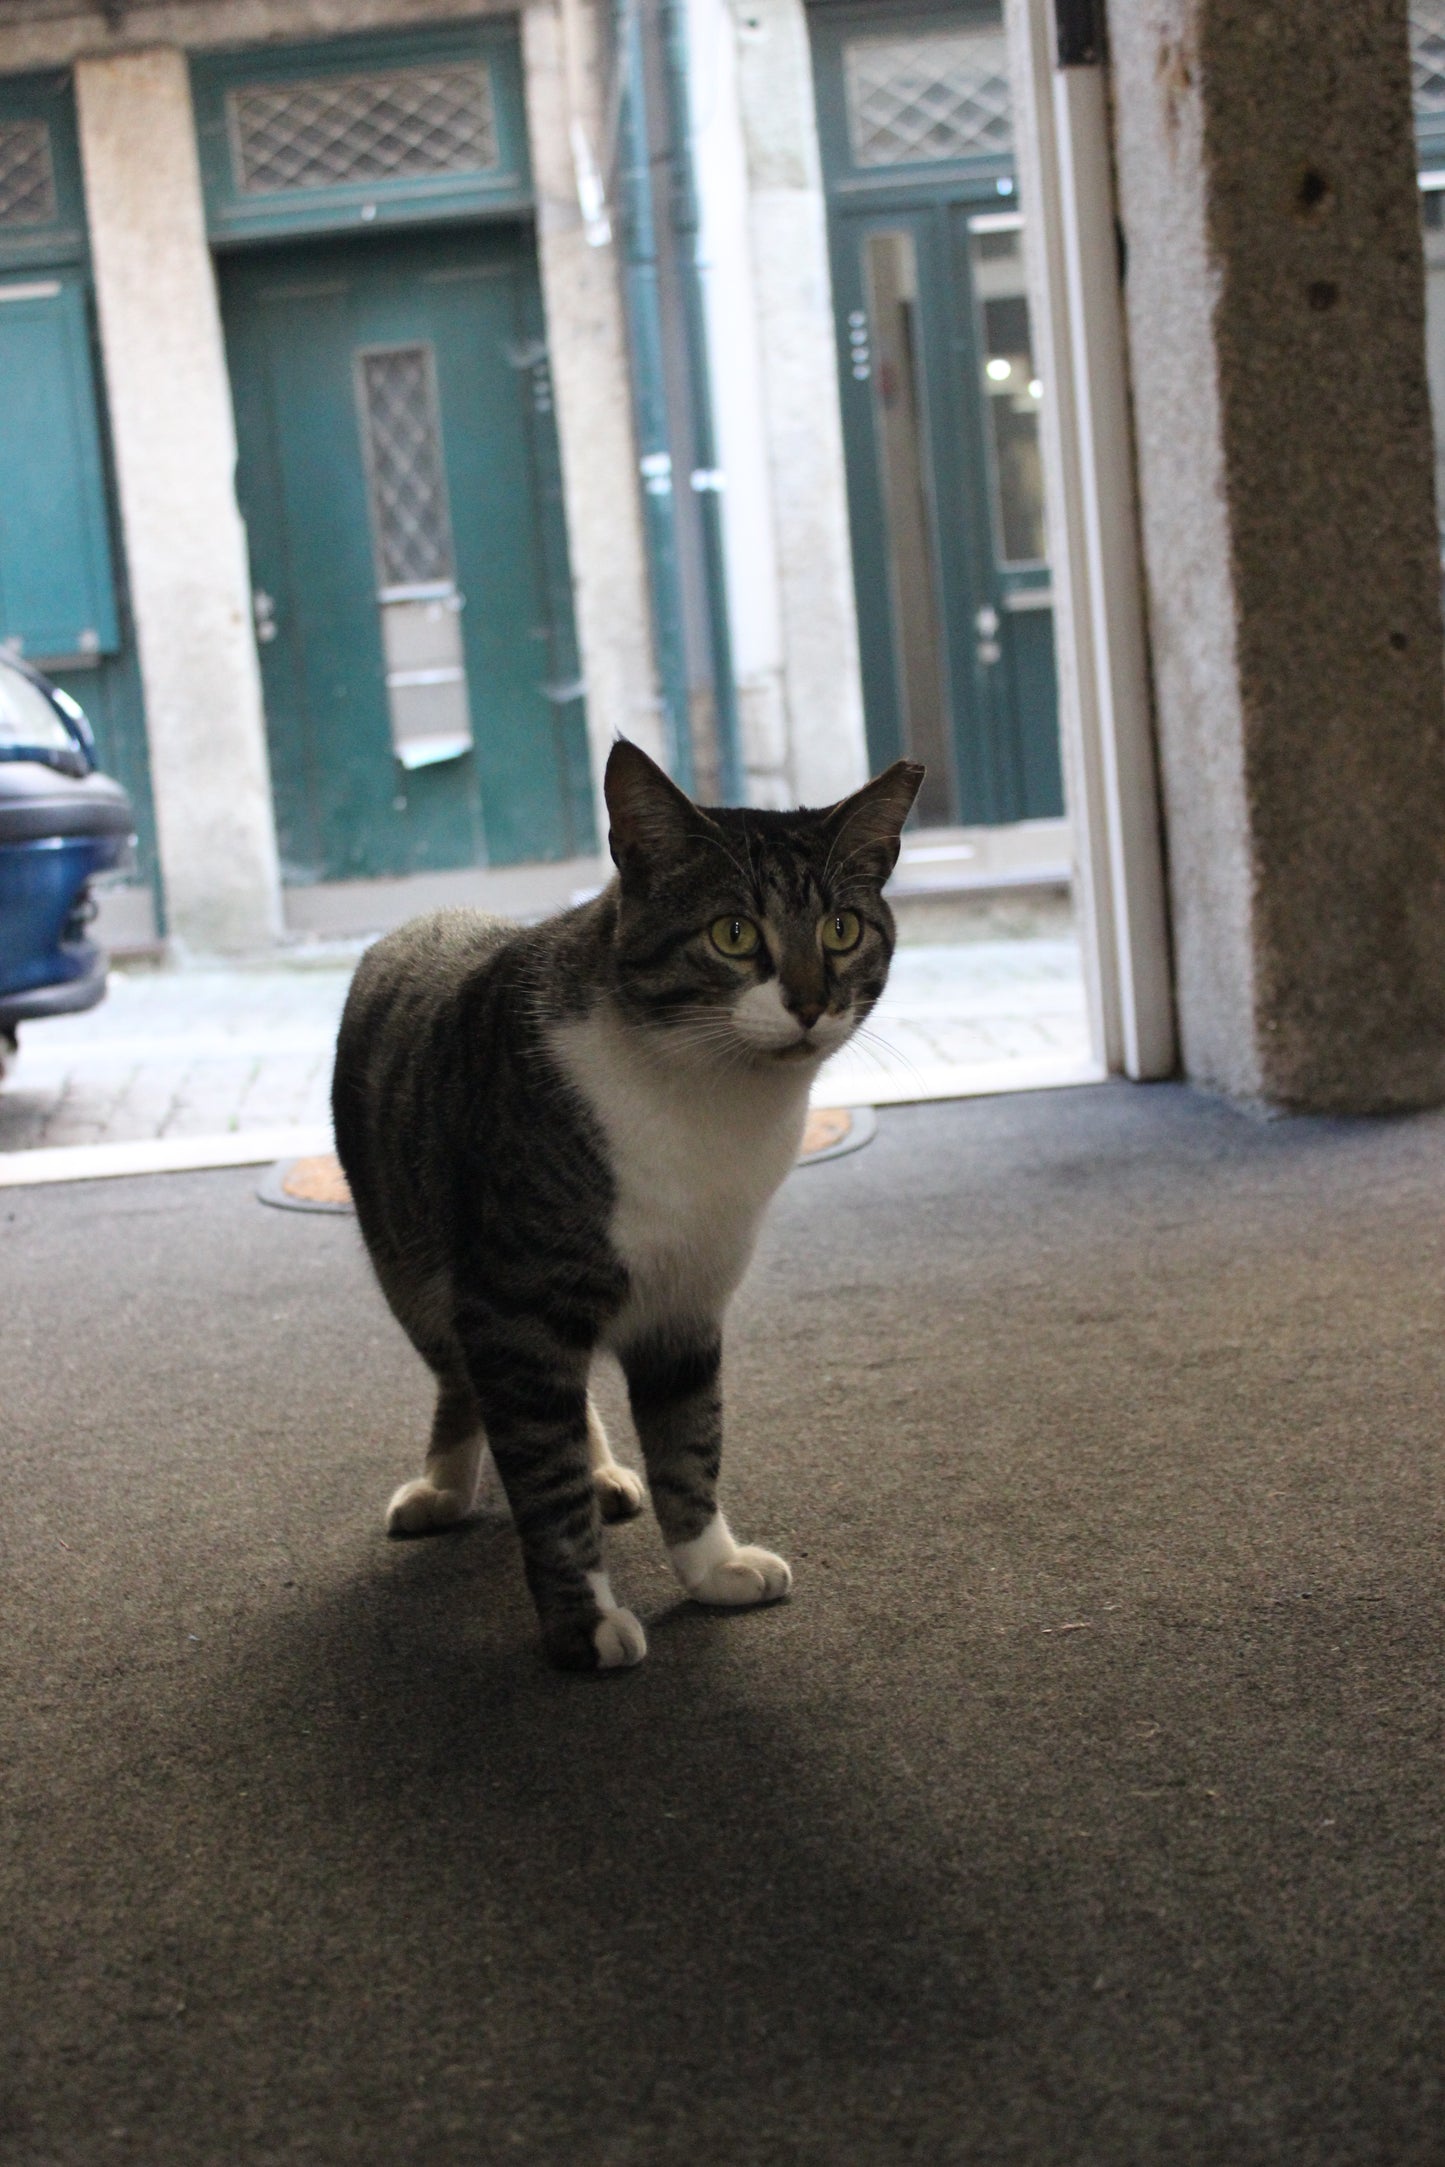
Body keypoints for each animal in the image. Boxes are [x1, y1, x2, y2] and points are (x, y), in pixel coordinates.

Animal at [331, 736, 922, 1664]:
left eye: (841, 928)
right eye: (732, 933)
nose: (808, 1001)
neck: (705, 1105)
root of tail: (428, 914)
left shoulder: (689, 1299)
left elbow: (690, 1441)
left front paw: (712, 1567)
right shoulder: (513, 1306)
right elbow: (544, 1475)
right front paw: (581, 1621)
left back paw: (605, 1469)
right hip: (408, 1263)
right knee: (462, 1379)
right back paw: (444, 1485)